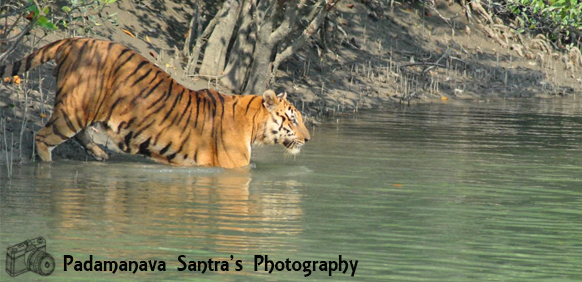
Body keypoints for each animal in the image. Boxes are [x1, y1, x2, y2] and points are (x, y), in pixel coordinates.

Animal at [1, 38, 310, 169]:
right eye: (293, 118)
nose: (308, 139)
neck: (253, 126)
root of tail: (74, 40)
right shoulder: (233, 168)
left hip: (82, 110)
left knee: (80, 133)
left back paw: (100, 154)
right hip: (74, 109)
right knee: (42, 136)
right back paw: (47, 167)